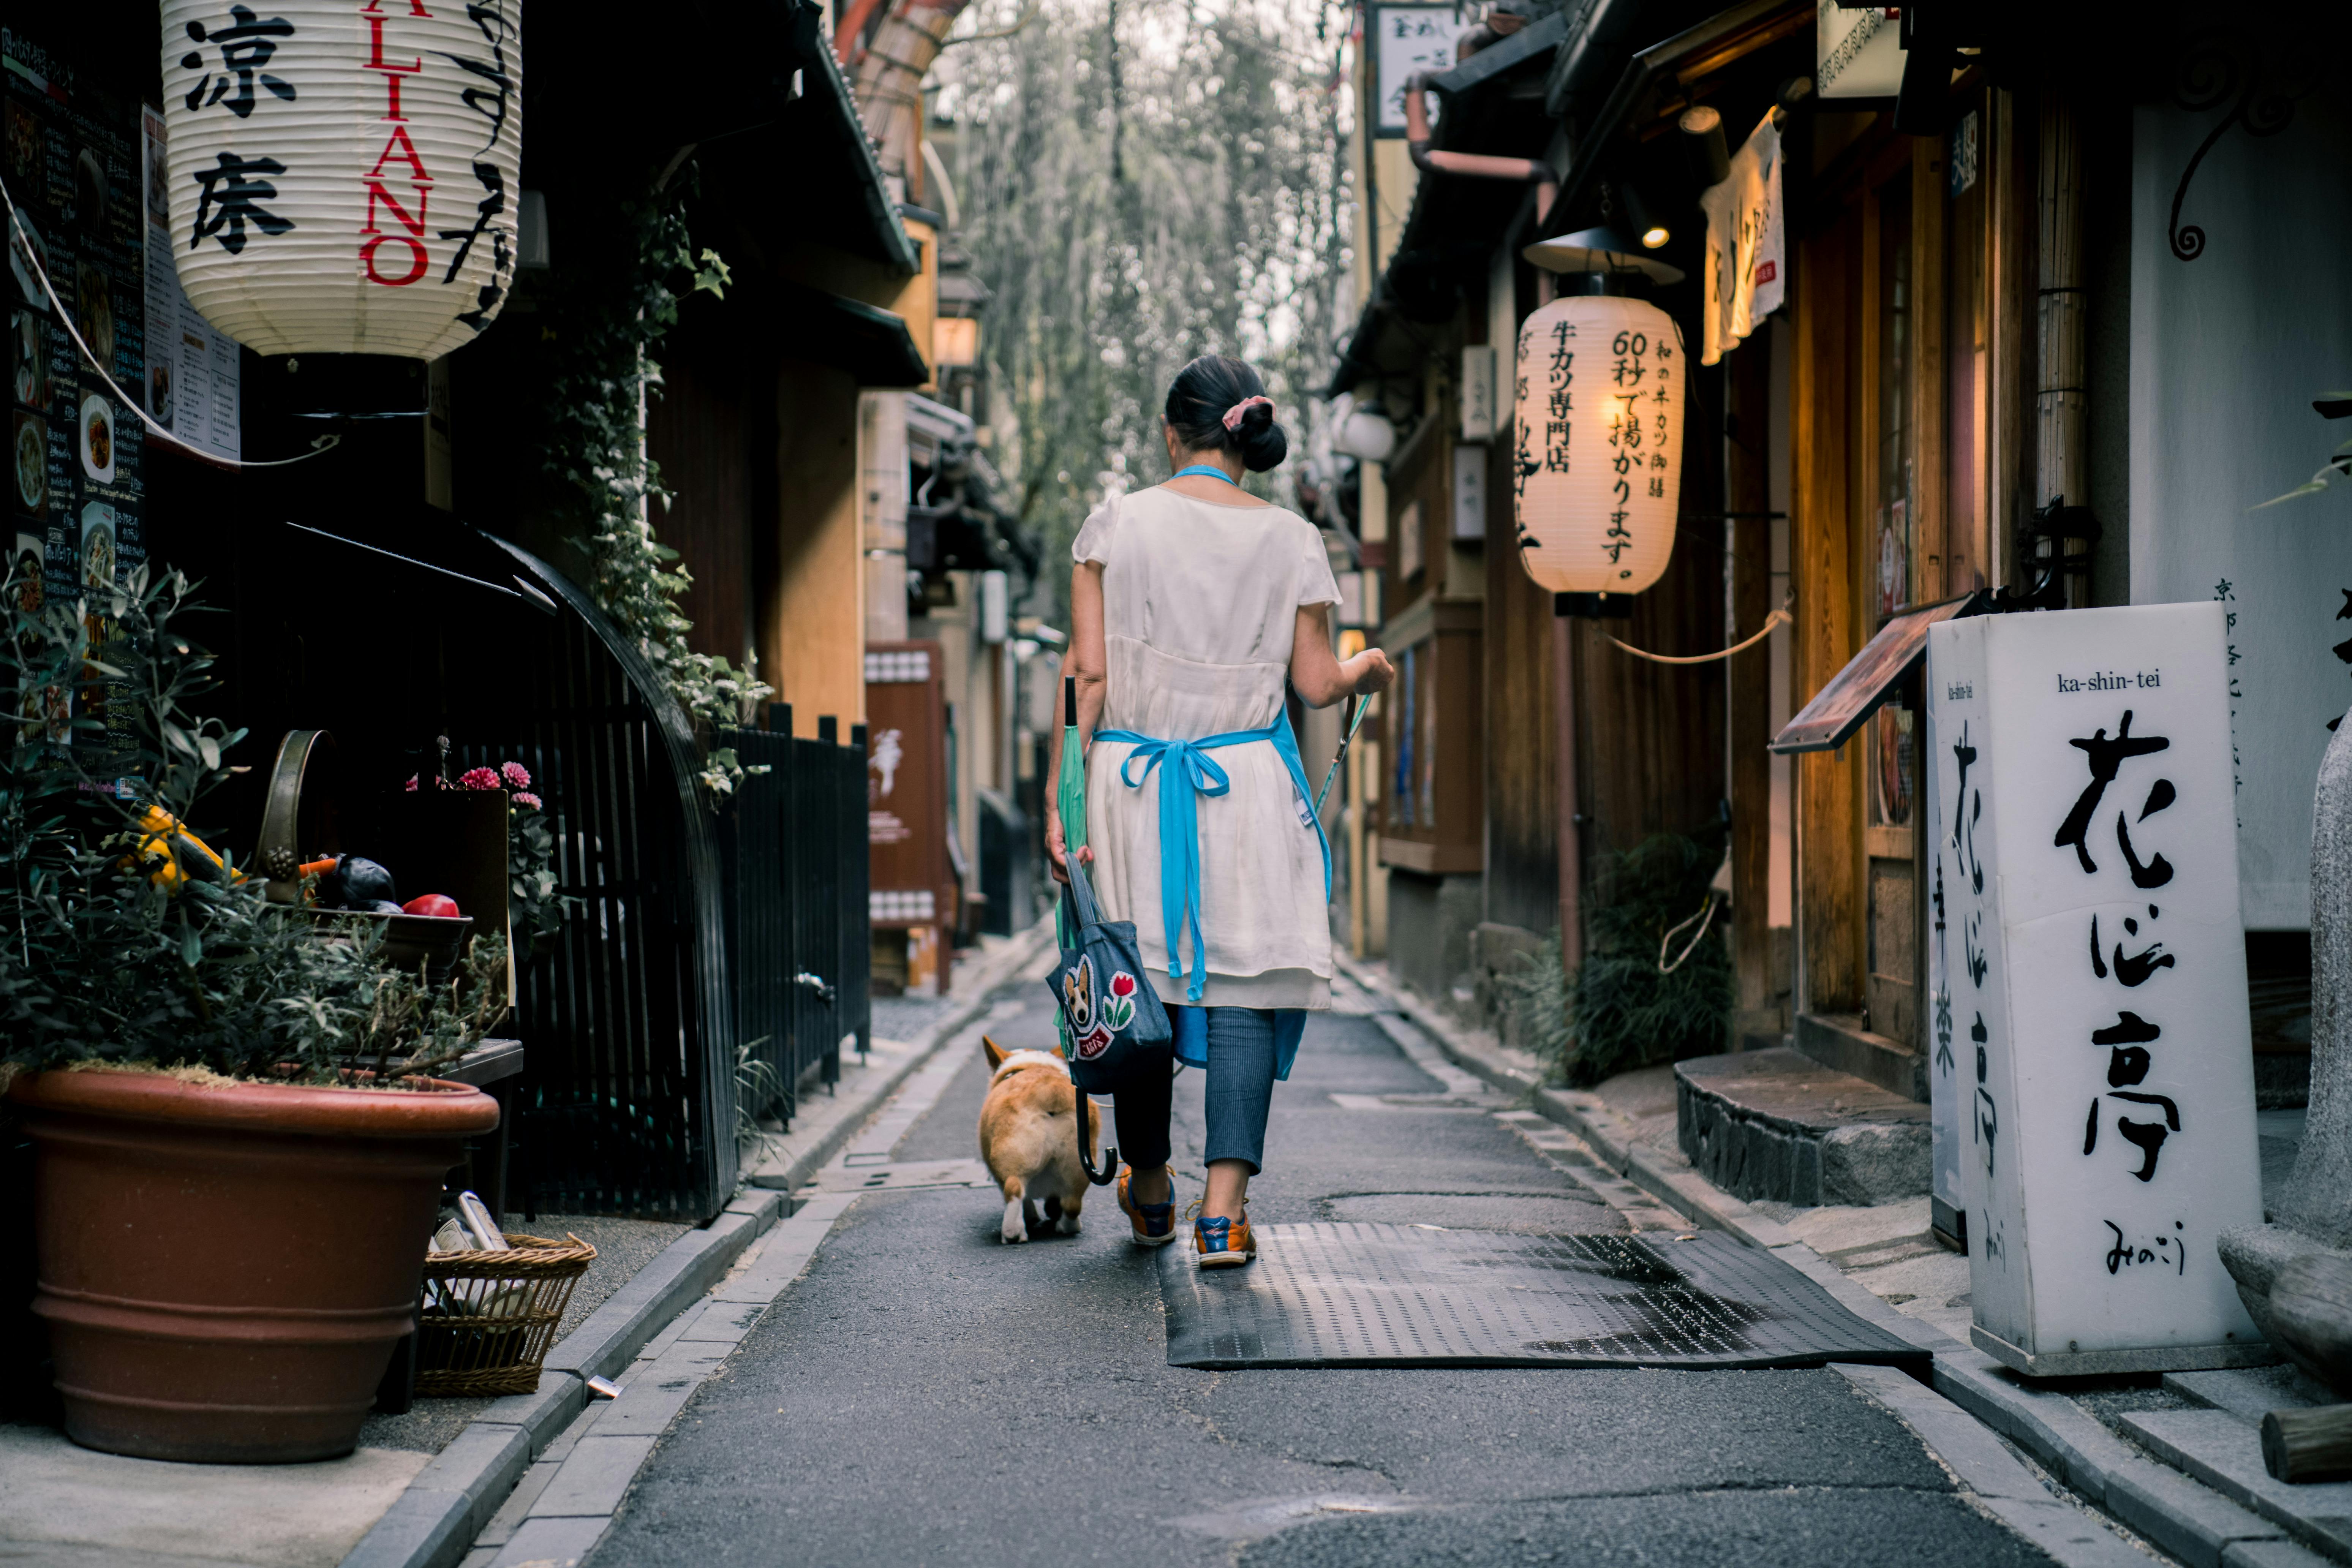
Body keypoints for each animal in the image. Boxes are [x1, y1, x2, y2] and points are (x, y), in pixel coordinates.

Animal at [983, 1034, 1110, 1241]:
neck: (1031, 1065)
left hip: (1013, 1159)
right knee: (1072, 1203)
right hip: (1079, 1162)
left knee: (1015, 1191)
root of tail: (1050, 1091)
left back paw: (1013, 1234)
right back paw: (1067, 1226)